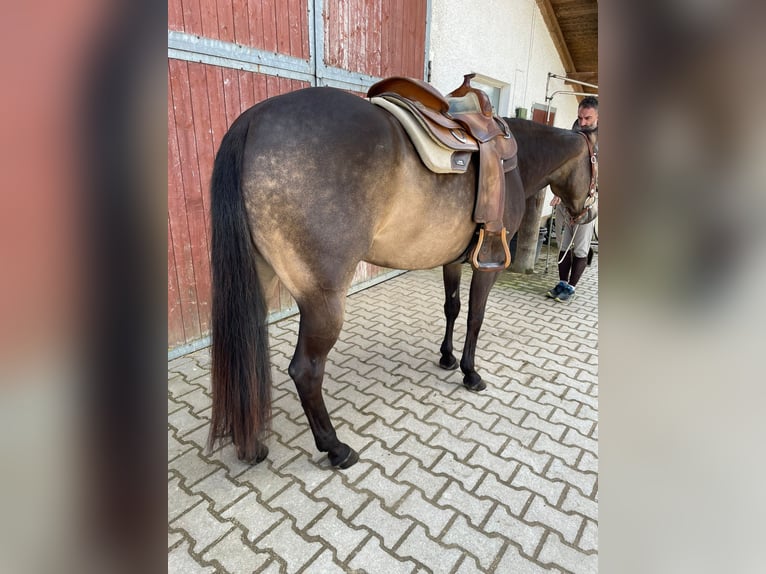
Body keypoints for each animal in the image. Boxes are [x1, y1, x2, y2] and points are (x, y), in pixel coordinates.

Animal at [207, 86, 598, 469]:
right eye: (595, 161)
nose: (587, 214)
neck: (513, 160)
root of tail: (252, 120)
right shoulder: (488, 264)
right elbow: (475, 317)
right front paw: (470, 373)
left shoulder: (451, 260)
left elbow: (452, 307)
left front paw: (446, 358)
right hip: (323, 300)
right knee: (306, 371)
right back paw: (336, 448)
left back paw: (251, 445)